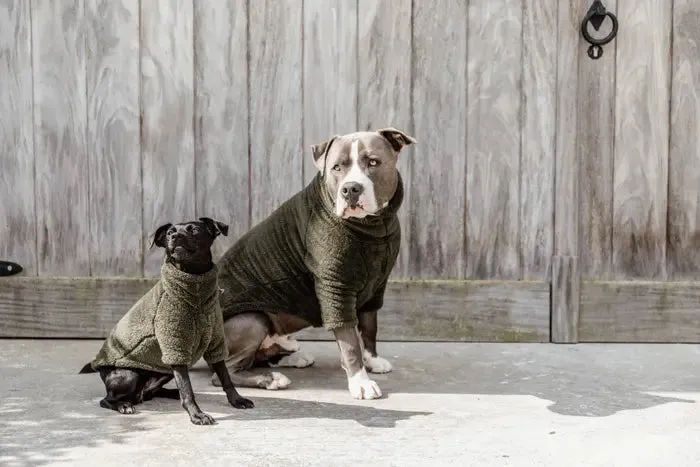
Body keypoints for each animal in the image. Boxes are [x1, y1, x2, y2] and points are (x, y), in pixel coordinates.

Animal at [79, 218, 254, 426]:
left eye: (195, 230)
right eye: (170, 232)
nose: (175, 236)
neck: (195, 285)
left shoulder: (215, 341)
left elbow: (225, 377)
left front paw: (237, 400)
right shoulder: (175, 346)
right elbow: (187, 388)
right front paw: (197, 415)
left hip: (164, 370)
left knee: (150, 393)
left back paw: (169, 393)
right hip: (129, 375)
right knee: (106, 400)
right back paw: (123, 405)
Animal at [213, 127, 416, 398]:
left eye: (373, 162)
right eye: (337, 167)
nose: (350, 189)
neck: (372, 226)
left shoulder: (377, 285)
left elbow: (370, 326)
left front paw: (372, 360)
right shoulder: (335, 287)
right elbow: (350, 341)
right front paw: (360, 381)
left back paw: (292, 357)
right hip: (252, 320)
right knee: (227, 371)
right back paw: (271, 379)